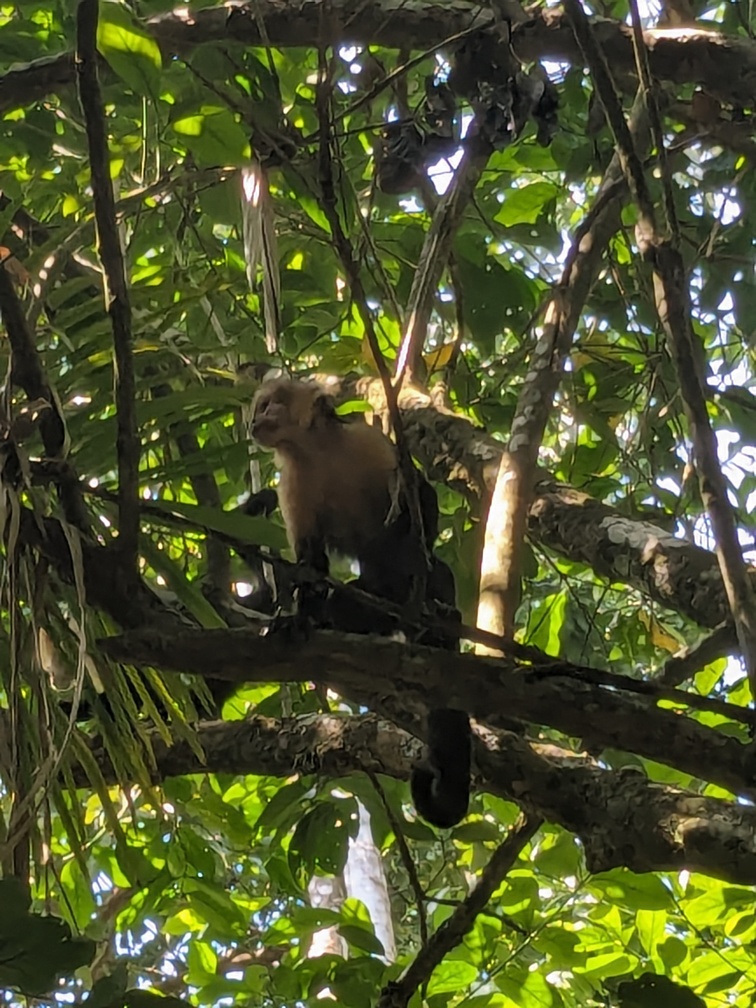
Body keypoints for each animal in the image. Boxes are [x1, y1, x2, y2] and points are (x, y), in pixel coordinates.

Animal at [248, 374, 471, 830]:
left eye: (268, 405)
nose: (253, 422)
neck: (314, 450)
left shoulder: (365, 441)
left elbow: (419, 496)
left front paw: (408, 533)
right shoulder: (293, 483)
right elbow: (311, 564)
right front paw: (299, 619)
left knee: (437, 573)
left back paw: (436, 612)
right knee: (346, 605)